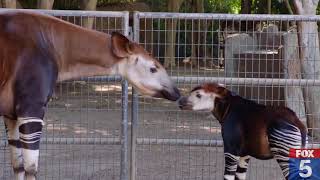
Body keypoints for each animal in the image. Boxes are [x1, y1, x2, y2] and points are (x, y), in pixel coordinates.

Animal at [0, 10, 180, 179]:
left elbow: (18, 166)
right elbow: (31, 168)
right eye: (153, 68)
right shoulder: (31, 107)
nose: (177, 93)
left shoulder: (11, 114)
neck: (54, 47)